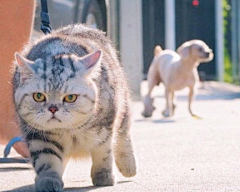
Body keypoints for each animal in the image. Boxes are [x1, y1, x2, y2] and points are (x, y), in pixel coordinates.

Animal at [12, 24, 137, 192]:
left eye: (70, 98)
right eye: (38, 96)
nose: (53, 109)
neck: (69, 131)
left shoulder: (105, 128)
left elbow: (103, 152)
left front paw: (103, 176)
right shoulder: (39, 135)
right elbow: (47, 160)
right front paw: (48, 180)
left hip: (122, 106)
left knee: (124, 134)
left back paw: (128, 165)